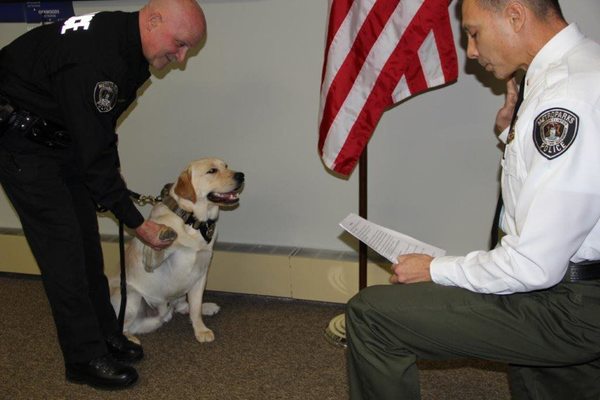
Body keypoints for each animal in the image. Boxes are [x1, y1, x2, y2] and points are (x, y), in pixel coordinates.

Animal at [110, 158, 244, 342]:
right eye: (212, 171)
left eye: (226, 166)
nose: (241, 175)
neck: (191, 221)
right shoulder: (151, 259)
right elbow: (157, 248)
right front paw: (165, 233)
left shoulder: (201, 273)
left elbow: (195, 307)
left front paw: (200, 328)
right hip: (131, 296)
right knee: (122, 327)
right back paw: (130, 339)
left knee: (182, 306)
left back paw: (205, 307)